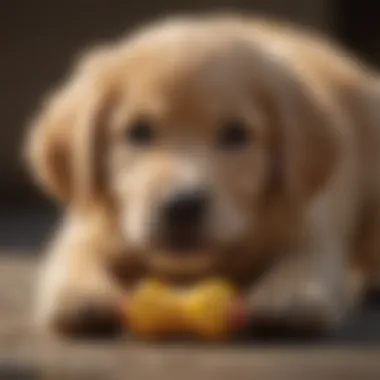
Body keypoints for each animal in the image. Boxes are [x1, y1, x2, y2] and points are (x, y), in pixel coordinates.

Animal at [23, 13, 380, 336]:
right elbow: (75, 260)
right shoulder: (85, 227)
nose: (182, 206)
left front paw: (288, 296)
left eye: (236, 134)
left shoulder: (309, 227)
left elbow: (302, 260)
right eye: (138, 131)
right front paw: (81, 294)